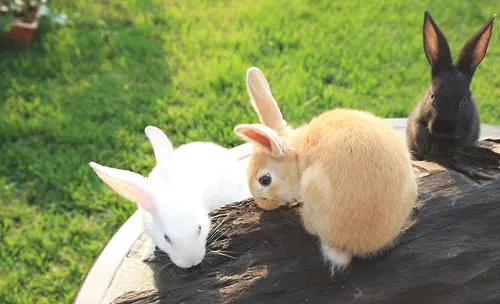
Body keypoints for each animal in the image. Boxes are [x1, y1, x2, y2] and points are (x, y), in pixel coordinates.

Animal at [406, 10, 496, 160]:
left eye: (464, 101)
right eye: (432, 97)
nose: (443, 128)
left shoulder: (469, 127)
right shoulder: (416, 121)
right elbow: (419, 131)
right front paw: (426, 147)